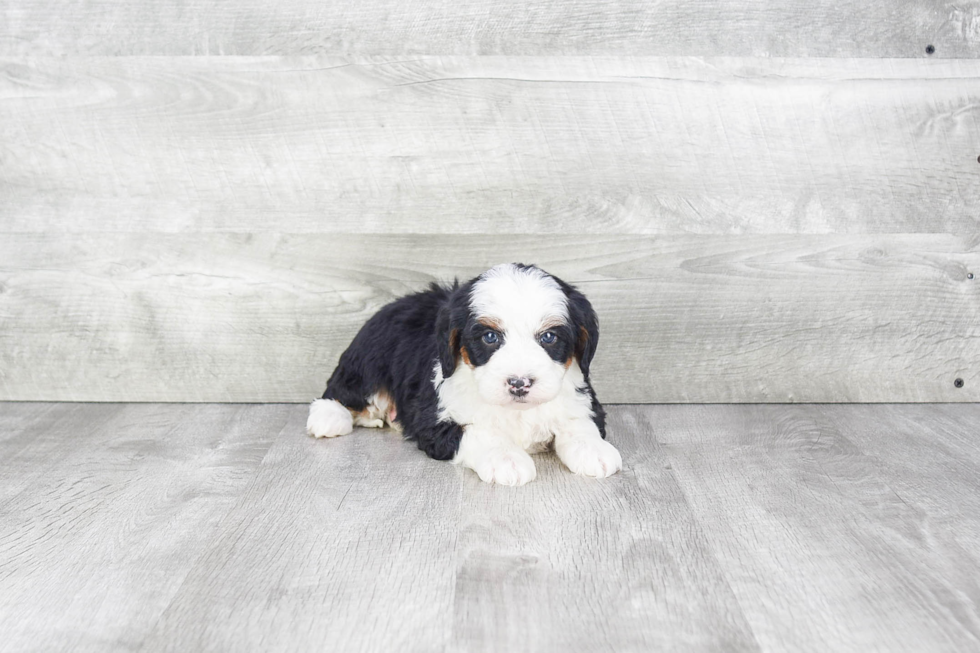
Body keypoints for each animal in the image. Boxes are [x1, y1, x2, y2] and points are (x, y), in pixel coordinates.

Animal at [306, 262, 620, 484]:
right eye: (490, 337)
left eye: (549, 337)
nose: (519, 383)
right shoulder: (435, 418)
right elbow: (480, 432)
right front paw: (506, 458)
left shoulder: (581, 398)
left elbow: (580, 423)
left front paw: (595, 450)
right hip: (370, 357)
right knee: (343, 388)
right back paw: (329, 417)